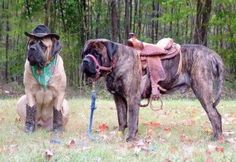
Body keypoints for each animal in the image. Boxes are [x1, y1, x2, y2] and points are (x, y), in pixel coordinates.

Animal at [80, 39, 223, 140]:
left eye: (97, 54)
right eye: (84, 53)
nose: (85, 61)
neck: (116, 62)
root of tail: (211, 53)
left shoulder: (132, 97)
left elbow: (132, 119)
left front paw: (130, 138)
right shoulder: (119, 98)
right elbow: (122, 118)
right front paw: (120, 134)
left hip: (202, 90)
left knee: (214, 114)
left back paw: (217, 138)